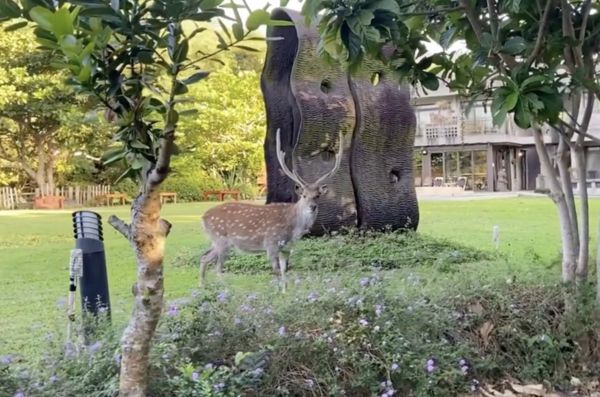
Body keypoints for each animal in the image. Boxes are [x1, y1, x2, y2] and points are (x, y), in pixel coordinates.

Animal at [200, 128, 344, 290]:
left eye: (318, 195)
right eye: (304, 195)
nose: (312, 207)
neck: (293, 228)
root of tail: (203, 218)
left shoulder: (286, 248)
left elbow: (284, 271)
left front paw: (285, 292)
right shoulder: (271, 243)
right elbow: (275, 272)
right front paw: (277, 291)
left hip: (216, 241)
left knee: (204, 258)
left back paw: (203, 286)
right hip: (221, 240)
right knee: (217, 267)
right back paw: (227, 290)